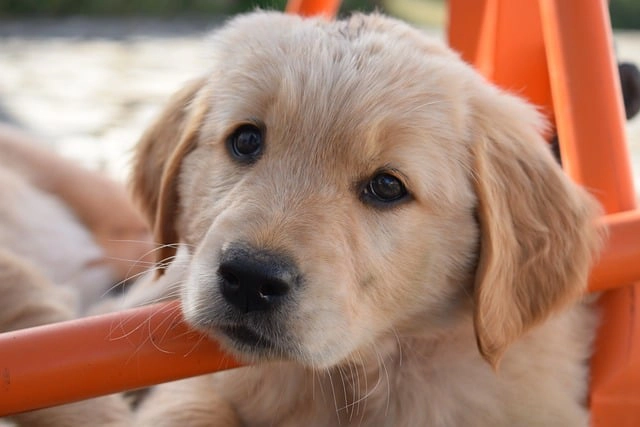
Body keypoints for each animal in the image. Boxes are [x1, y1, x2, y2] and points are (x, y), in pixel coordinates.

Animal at [131, 11, 604, 426]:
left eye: (387, 187)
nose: (250, 277)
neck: (354, 380)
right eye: (246, 140)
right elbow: (189, 408)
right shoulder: (195, 387)